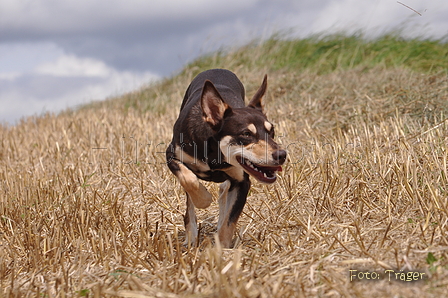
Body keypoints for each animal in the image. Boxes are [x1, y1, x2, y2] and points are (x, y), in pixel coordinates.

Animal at [165, 68, 288, 248]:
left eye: (271, 131)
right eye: (246, 134)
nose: (281, 155)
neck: (214, 154)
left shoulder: (242, 182)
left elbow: (229, 222)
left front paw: (221, 248)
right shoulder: (171, 155)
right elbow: (190, 180)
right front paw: (204, 199)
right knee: (189, 205)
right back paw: (191, 236)